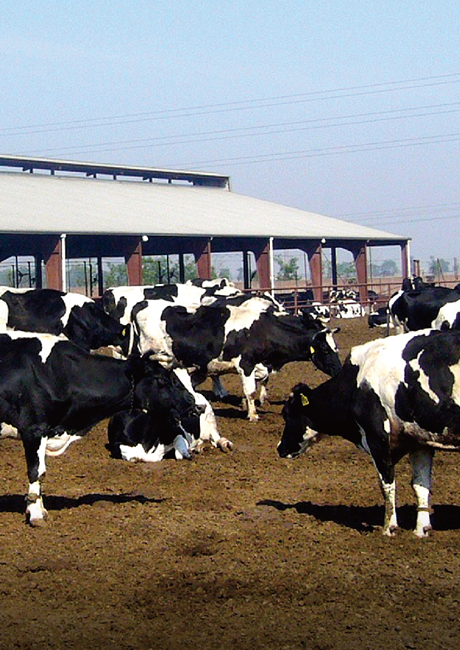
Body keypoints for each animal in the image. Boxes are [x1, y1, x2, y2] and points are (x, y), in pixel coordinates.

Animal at [0, 331, 202, 525]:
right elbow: (37, 471)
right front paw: (35, 514)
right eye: (162, 379)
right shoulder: (34, 429)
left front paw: (40, 510)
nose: (193, 403)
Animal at [132, 296, 341, 421]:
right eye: (324, 349)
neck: (262, 329)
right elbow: (250, 390)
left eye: (335, 347)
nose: (338, 370)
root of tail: (141, 305)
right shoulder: (246, 364)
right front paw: (252, 414)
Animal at [278, 328, 460, 537]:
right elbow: (421, 485)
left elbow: (387, 483)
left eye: (287, 414)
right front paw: (421, 530)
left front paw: (388, 528)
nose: (280, 448)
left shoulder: (376, 436)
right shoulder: (419, 440)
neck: (357, 381)